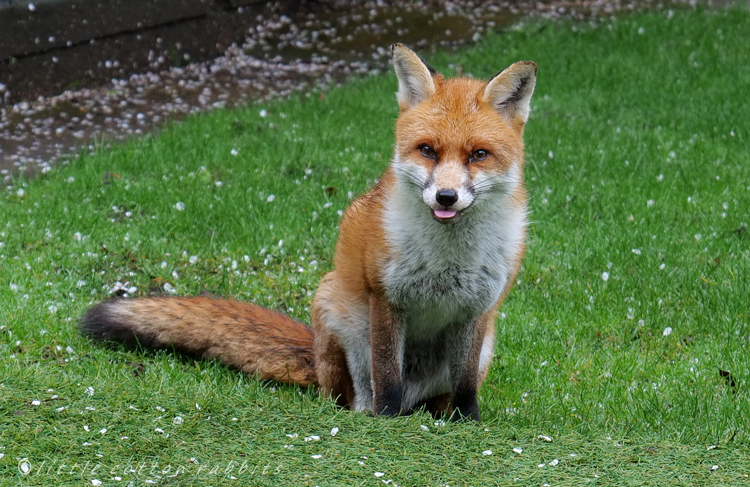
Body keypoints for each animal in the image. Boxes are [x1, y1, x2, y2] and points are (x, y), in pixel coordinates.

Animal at [80, 44, 537, 422]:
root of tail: (312, 356)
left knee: (439, 397)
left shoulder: (478, 310)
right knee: (354, 396)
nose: (445, 197)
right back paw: (370, 413)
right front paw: (387, 423)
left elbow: (465, 388)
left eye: (478, 155)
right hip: (337, 309)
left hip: (484, 344)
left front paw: (468, 424)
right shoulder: (386, 298)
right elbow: (387, 374)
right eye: (427, 150)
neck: (448, 258)